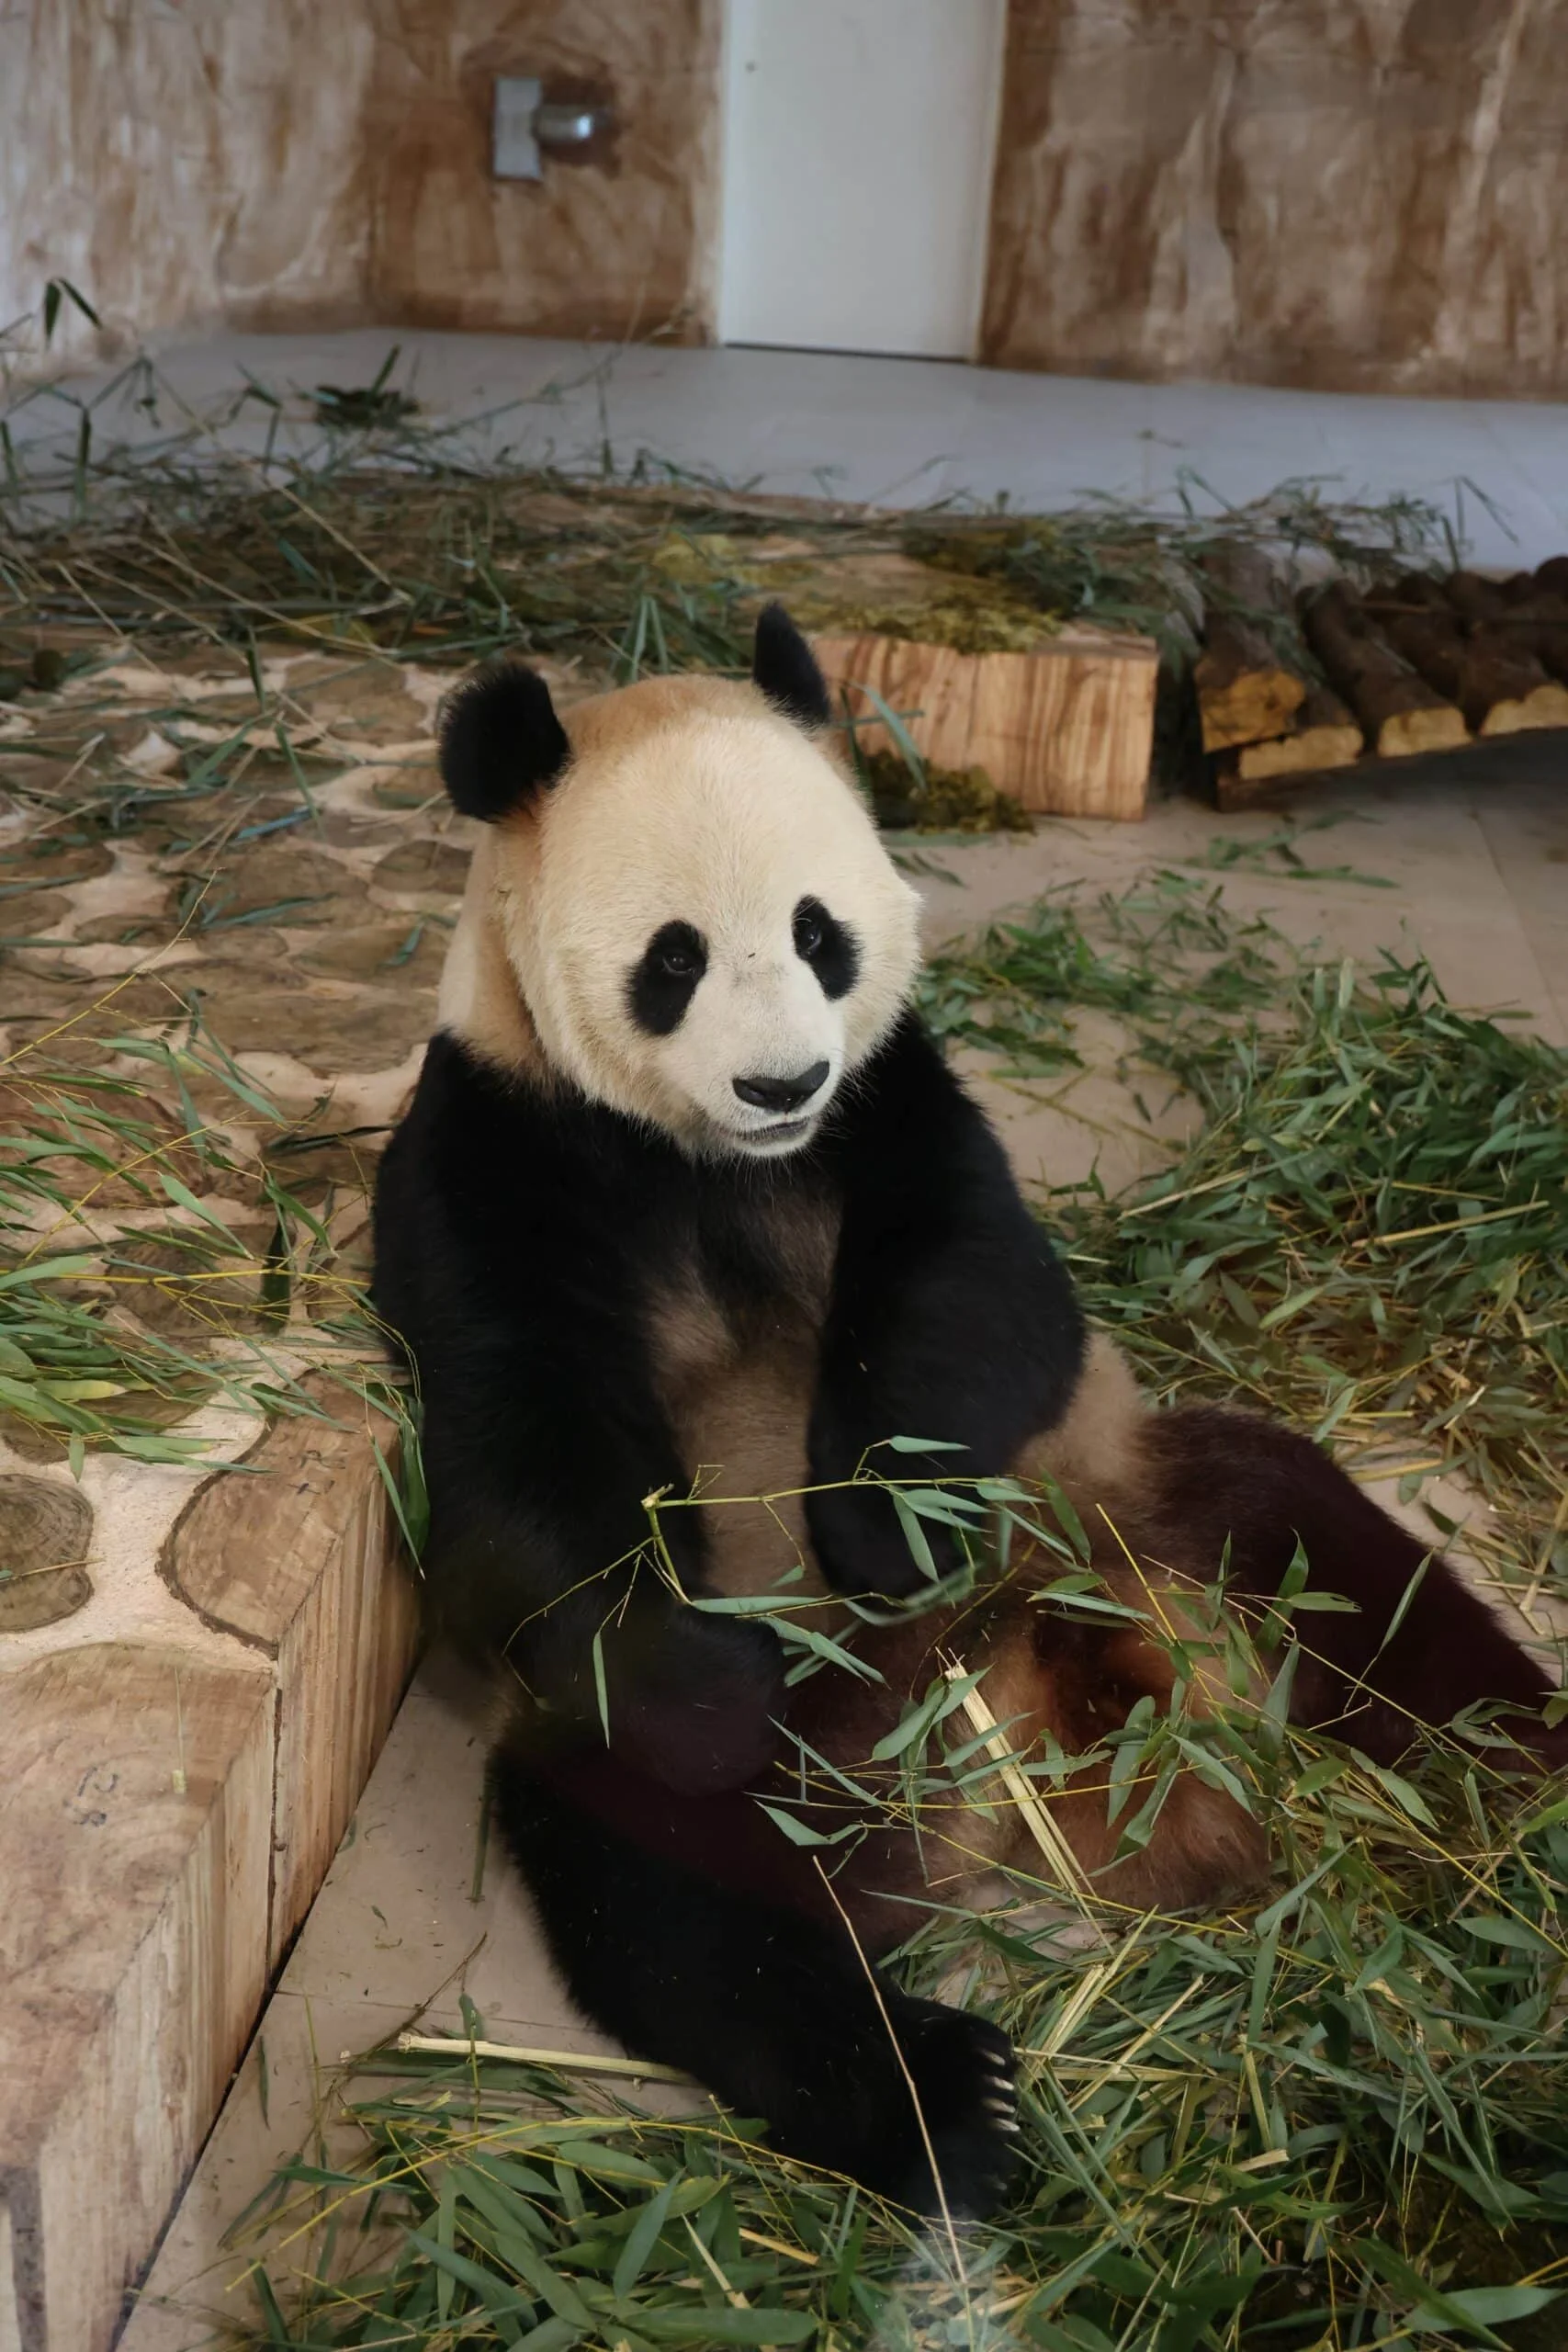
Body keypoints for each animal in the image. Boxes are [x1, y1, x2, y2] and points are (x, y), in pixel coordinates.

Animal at [371, 605, 1566, 2221]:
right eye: (673, 957)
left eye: (818, 931)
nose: (780, 1080)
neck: (718, 1164)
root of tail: (1010, 1728)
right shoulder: (496, 1142)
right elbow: (513, 1450)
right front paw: (708, 1681)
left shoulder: (894, 1101)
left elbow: (985, 1295)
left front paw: (882, 1534)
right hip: (671, 1777)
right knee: (687, 1914)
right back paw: (949, 2102)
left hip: (1142, 1491)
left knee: (1352, 1577)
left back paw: (1516, 1771)